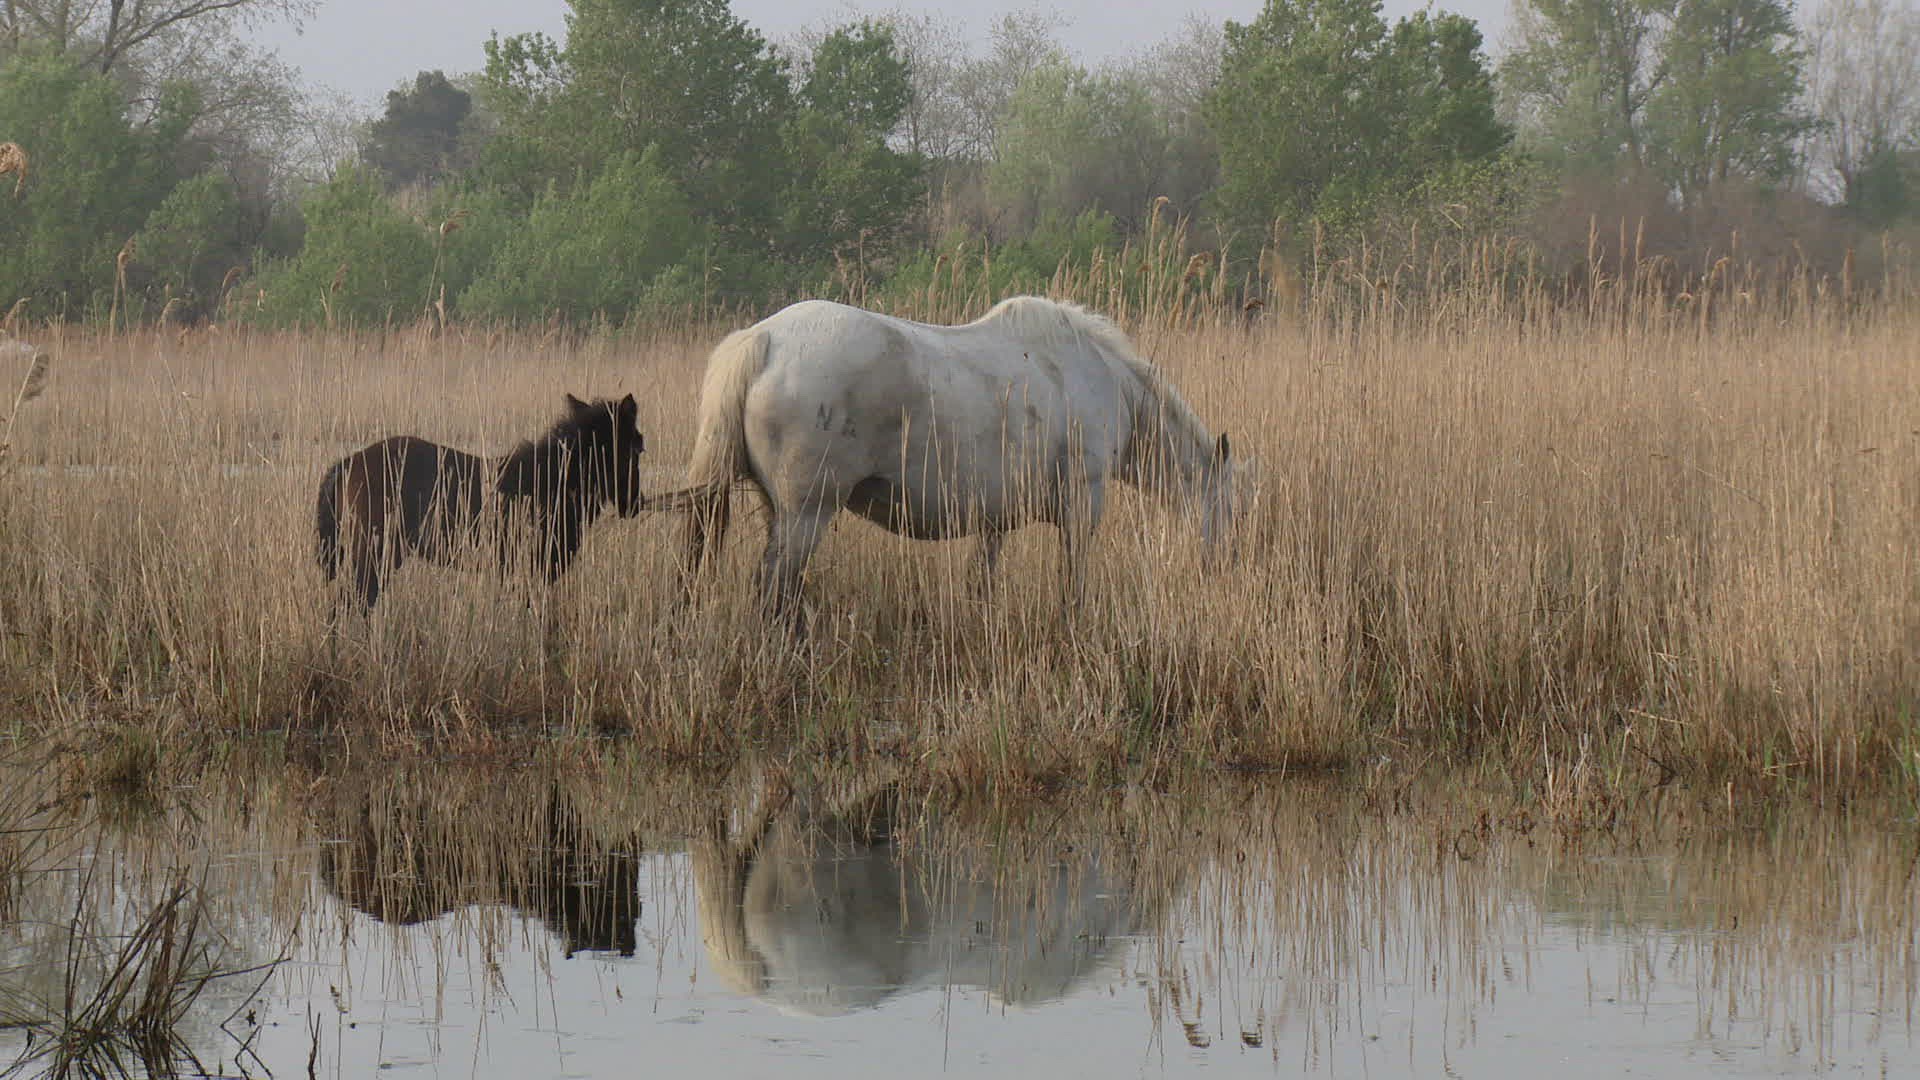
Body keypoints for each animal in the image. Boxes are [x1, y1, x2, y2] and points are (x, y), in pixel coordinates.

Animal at [316, 393, 645, 611]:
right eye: (637, 447)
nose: (635, 503)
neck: (552, 479)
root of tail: (349, 462)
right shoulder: (534, 568)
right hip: (374, 553)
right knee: (350, 603)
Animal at [675, 296, 1234, 625]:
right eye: (1234, 512)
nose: (1222, 571)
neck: (1098, 377)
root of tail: (765, 340)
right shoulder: (1082, 504)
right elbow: (1073, 582)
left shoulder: (993, 522)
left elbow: (981, 584)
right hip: (806, 514)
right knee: (775, 588)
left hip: (779, 511)